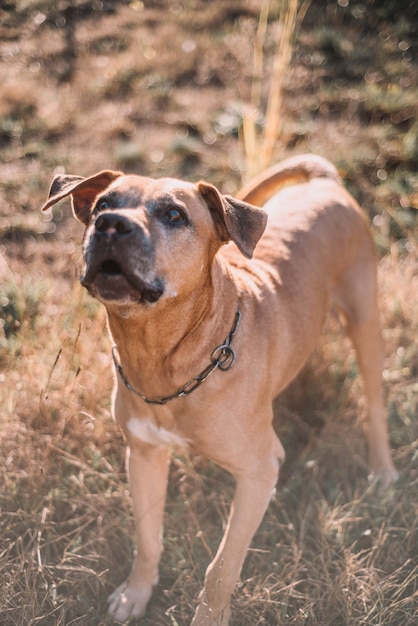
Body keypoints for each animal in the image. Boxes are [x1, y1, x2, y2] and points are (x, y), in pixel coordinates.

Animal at [42, 155, 398, 624]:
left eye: (174, 215)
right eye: (103, 204)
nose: (111, 225)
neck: (165, 359)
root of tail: (323, 183)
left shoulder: (259, 471)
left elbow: (222, 567)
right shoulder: (144, 455)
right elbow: (148, 536)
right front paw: (137, 592)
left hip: (364, 318)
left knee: (374, 401)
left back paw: (383, 471)